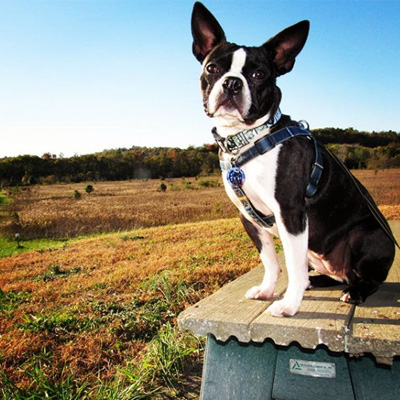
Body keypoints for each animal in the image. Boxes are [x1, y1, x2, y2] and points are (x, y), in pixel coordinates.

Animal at [192, 2, 396, 316]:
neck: (249, 138)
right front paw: (266, 290)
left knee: (369, 278)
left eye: (259, 75)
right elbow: (269, 259)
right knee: (332, 272)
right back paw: (321, 280)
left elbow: (291, 263)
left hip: (364, 236)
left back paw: (355, 291)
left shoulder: (290, 212)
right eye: (212, 68)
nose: (232, 83)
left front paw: (289, 304)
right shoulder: (248, 216)